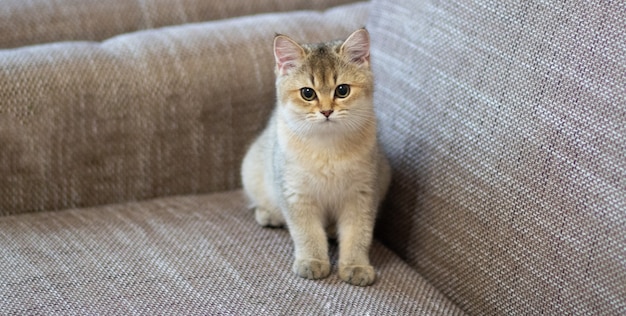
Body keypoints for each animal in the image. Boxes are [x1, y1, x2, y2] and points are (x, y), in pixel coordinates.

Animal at [241, 29, 388, 286]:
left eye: (342, 90)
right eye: (307, 93)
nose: (327, 111)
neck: (327, 150)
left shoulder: (362, 194)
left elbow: (358, 235)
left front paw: (356, 266)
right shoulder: (296, 193)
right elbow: (307, 233)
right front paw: (313, 261)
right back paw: (269, 214)